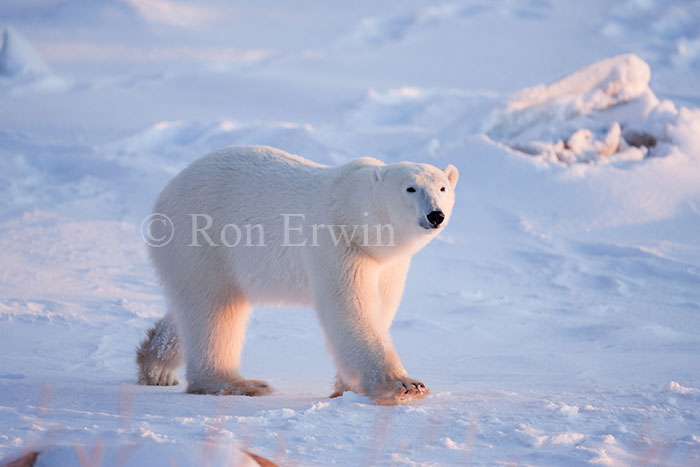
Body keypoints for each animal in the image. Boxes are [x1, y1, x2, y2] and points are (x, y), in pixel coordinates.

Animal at [137, 145, 458, 405]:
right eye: (410, 188)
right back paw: (238, 383)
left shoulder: (387, 263)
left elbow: (382, 304)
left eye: (443, 188)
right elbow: (351, 306)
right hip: (202, 236)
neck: (356, 217)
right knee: (214, 310)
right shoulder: (336, 242)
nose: (435, 215)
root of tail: (167, 191)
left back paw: (156, 365)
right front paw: (404, 385)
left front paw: (346, 386)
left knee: (191, 307)